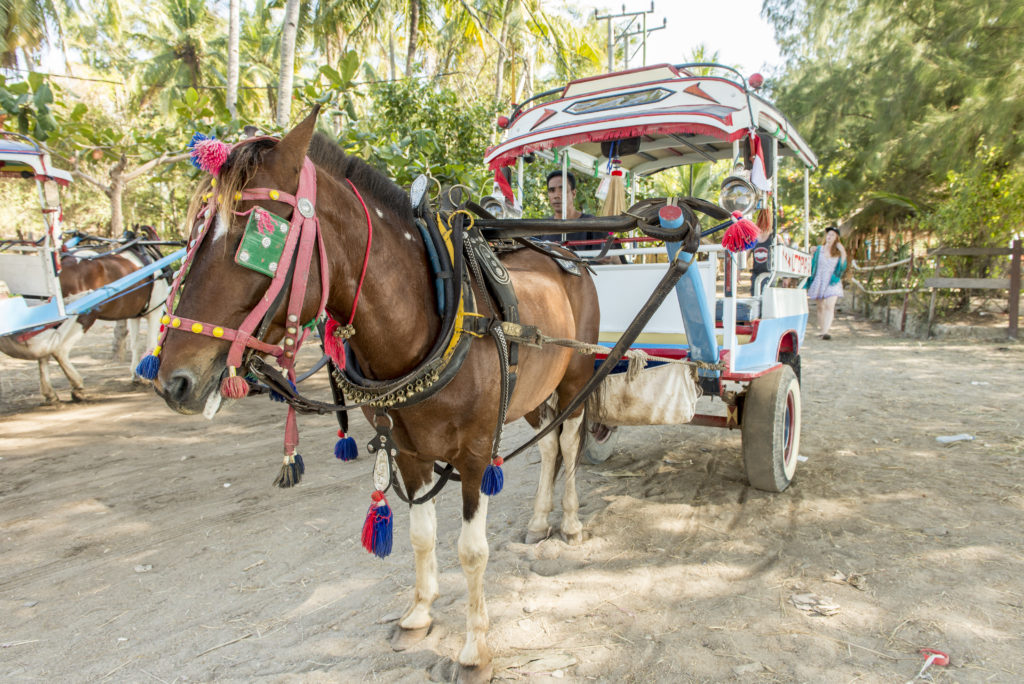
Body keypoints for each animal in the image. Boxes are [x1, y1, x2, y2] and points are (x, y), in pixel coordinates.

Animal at [0, 237, 167, 403]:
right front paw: (147, 378)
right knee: (59, 349)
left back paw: (50, 393)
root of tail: (62, 262)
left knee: (44, 349)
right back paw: (77, 387)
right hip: (84, 316)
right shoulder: (156, 311)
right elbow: (151, 344)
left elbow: (135, 344)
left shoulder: (135, 315)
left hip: (53, 321)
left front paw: (136, 374)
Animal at [151, 112, 598, 679]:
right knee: (548, 444)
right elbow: (421, 534)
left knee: (569, 442)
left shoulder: (475, 453)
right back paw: (540, 522)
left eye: (257, 237)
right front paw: (419, 614)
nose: (172, 381)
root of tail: (564, 253)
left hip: (576, 379)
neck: (428, 319)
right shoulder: (407, 450)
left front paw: (475, 649)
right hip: (536, 395)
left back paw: (570, 522)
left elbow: (472, 550)